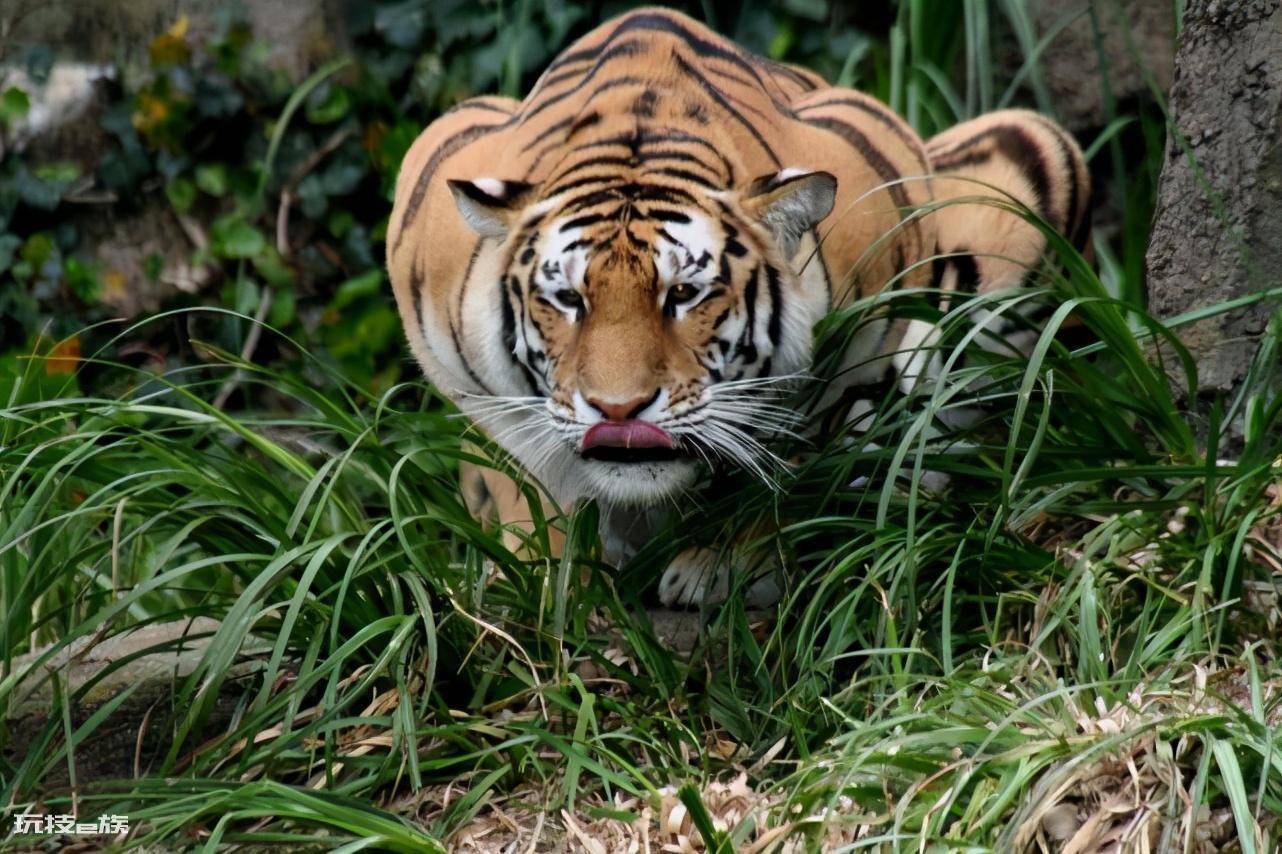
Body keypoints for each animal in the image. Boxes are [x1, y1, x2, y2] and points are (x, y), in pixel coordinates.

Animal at [386, 7, 1090, 607]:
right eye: (567, 300)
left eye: (683, 295)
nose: (619, 412)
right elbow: (528, 475)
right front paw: (543, 576)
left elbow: (786, 457)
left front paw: (720, 568)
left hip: (1031, 159)